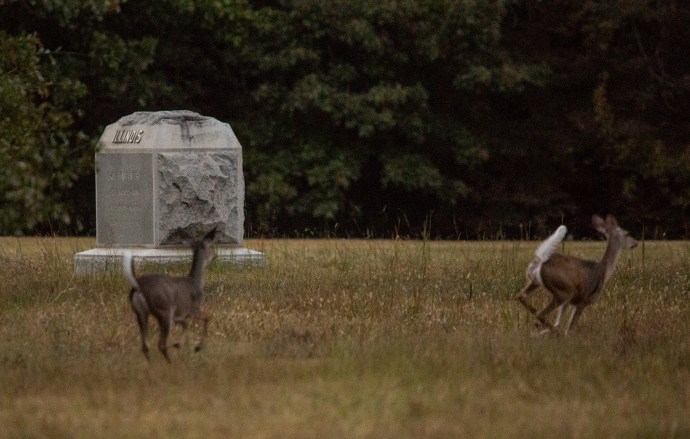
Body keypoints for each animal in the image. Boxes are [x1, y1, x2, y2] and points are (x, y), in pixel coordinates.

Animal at [123, 228, 216, 362]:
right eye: (211, 246)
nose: (215, 256)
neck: (195, 281)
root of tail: (138, 286)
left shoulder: (179, 315)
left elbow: (186, 324)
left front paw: (178, 344)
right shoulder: (193, 308)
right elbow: (208, 317)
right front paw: (197, 347)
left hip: (140, 312)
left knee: (145, 345)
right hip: (163, 310)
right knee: (160, 344)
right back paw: (171, 363)